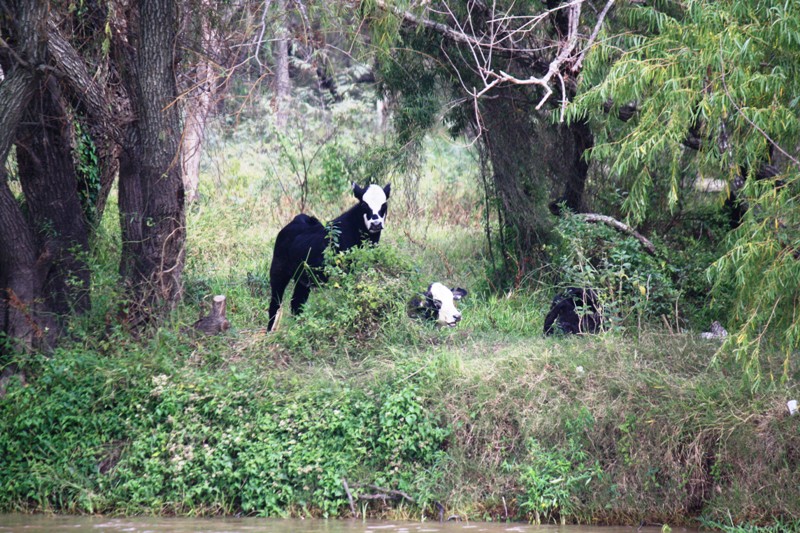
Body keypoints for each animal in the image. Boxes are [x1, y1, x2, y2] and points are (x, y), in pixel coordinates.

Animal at [268, 183, 390, 332]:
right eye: (363, 204)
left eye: (384, 204)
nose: (376, 224)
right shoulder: (346, 270)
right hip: (278, 271)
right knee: (275, 303)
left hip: (303, 278)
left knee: (297, 303)